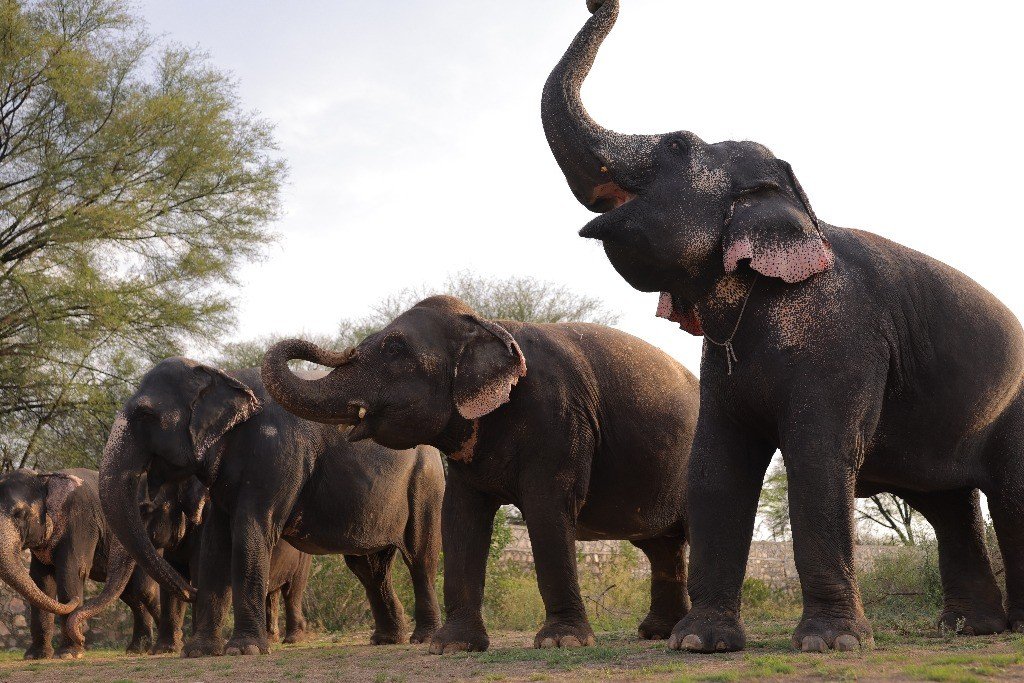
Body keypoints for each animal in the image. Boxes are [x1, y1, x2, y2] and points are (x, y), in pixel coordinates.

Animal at [0, 468, 159, 658]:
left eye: (19, 514)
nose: (83, 639)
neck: (44, 478)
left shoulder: (80, 520)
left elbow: (71, 572)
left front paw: (68, 654)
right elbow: (41, 581)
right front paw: (36, 656)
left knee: (145, 590)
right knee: (131, 594)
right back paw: (137, 650)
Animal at [67, 476, 312, 654]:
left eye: (145, 509)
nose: (82, 636)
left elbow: (201, 572)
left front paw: (192, 646)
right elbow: (175, 576)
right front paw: (164, 650)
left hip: (302, 554)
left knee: (293, 591)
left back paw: (293, 639)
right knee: (272, 593)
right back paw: (272, 639)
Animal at [98, 358, 443, 656]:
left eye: (145, 415)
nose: (190, 590)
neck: (224, 374)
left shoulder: (277, 452)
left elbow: (250, 531)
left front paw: (244, 650)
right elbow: (215, 543)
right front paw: (199, 652)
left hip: (425, 482)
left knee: (419, 556)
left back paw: (423, 638)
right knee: (369, 567)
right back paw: (387, 639)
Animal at [261, 295, 700, 653]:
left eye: (394, 348)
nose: (340, 348)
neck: (487, 323)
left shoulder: (560, 418)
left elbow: (546, 509)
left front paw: (562, 642)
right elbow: (461, 517)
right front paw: (452, 647)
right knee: (660, 544)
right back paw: (656, 633)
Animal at [542, 0, 1024, 654]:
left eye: (677, 143)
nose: (597, 3)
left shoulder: (844, 337)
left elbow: (818, 455)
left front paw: (831, 644)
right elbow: (716, 465)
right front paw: (699, 643)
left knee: (1007, 495)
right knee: (948, 504)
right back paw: (973, 629)